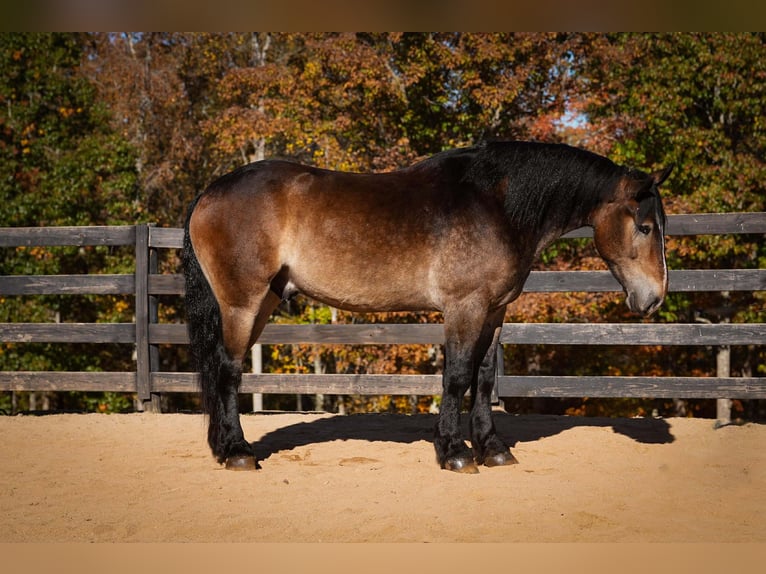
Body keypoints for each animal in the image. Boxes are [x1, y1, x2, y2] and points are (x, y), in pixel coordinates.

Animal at [181, 140, 672, 473]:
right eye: (645, 227)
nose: (654, 298)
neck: (496, 205)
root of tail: (210, 193)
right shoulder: (464, 307)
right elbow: (456, 377)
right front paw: (455, 453)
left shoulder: (494, 312)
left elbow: (484, 379)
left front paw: (493, 450)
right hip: (242, 303)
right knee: (227, 370)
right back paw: (238, 453)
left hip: (264, 300)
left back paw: (223, 448)